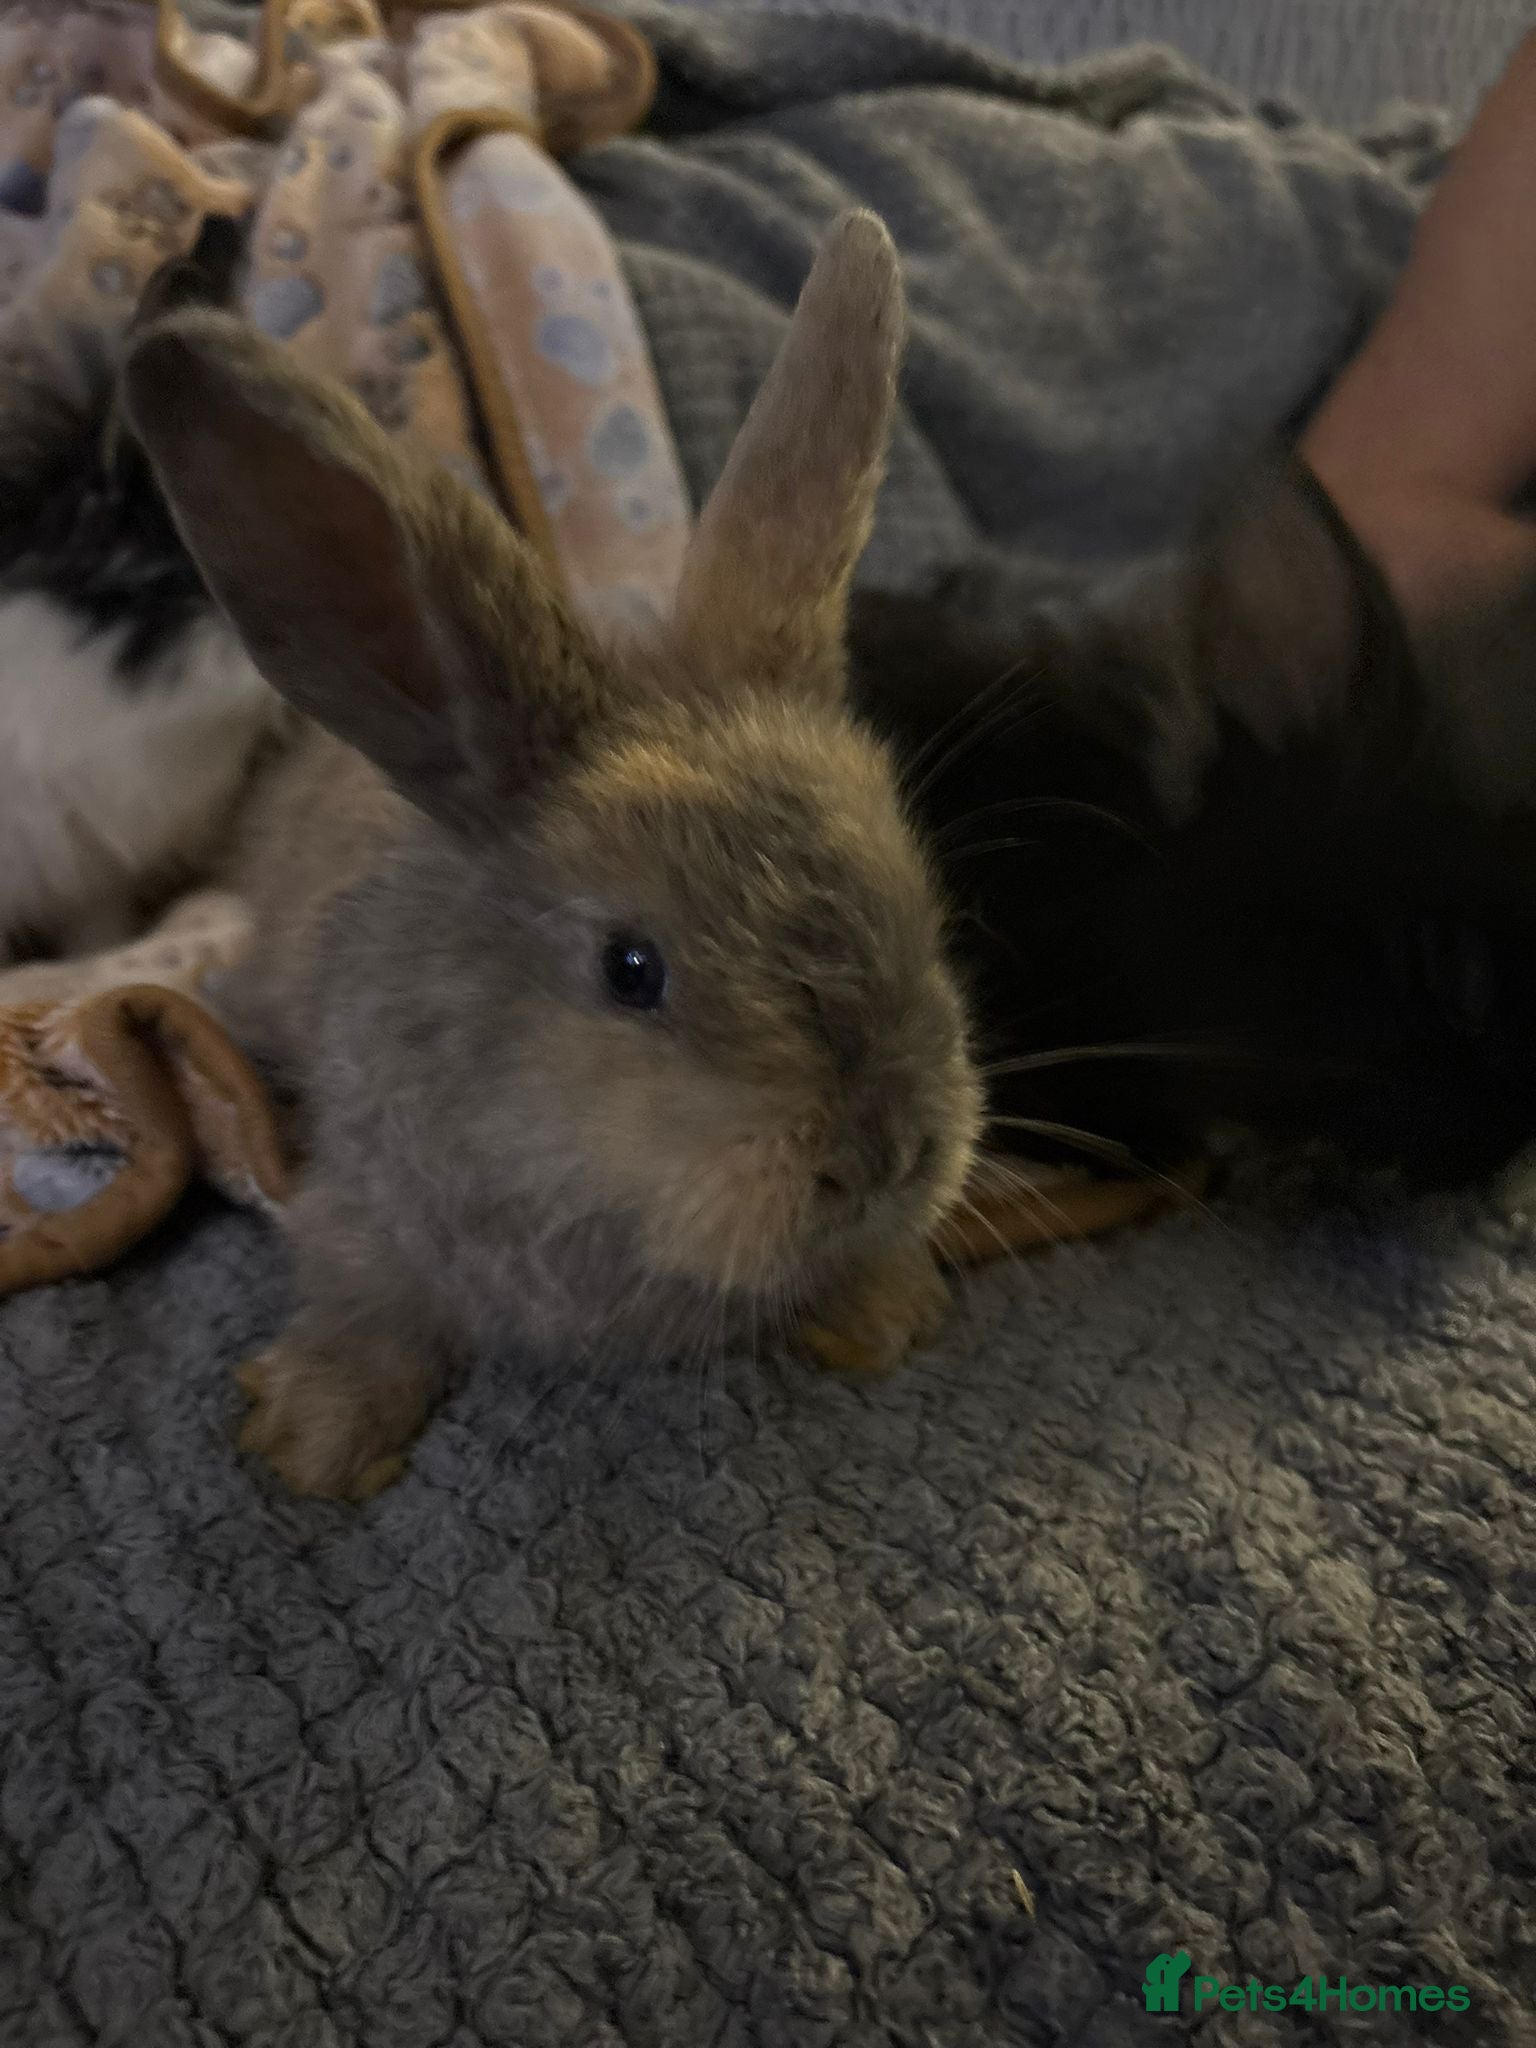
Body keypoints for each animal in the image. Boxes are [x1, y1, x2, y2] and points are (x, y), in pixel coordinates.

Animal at [121, 211, 984, 1502]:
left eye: (921, 903)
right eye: (632, 969)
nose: (882, 1157)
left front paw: (883, 1311)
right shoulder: (360, 1206)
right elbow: (360, 1295)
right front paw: (317, 1435)